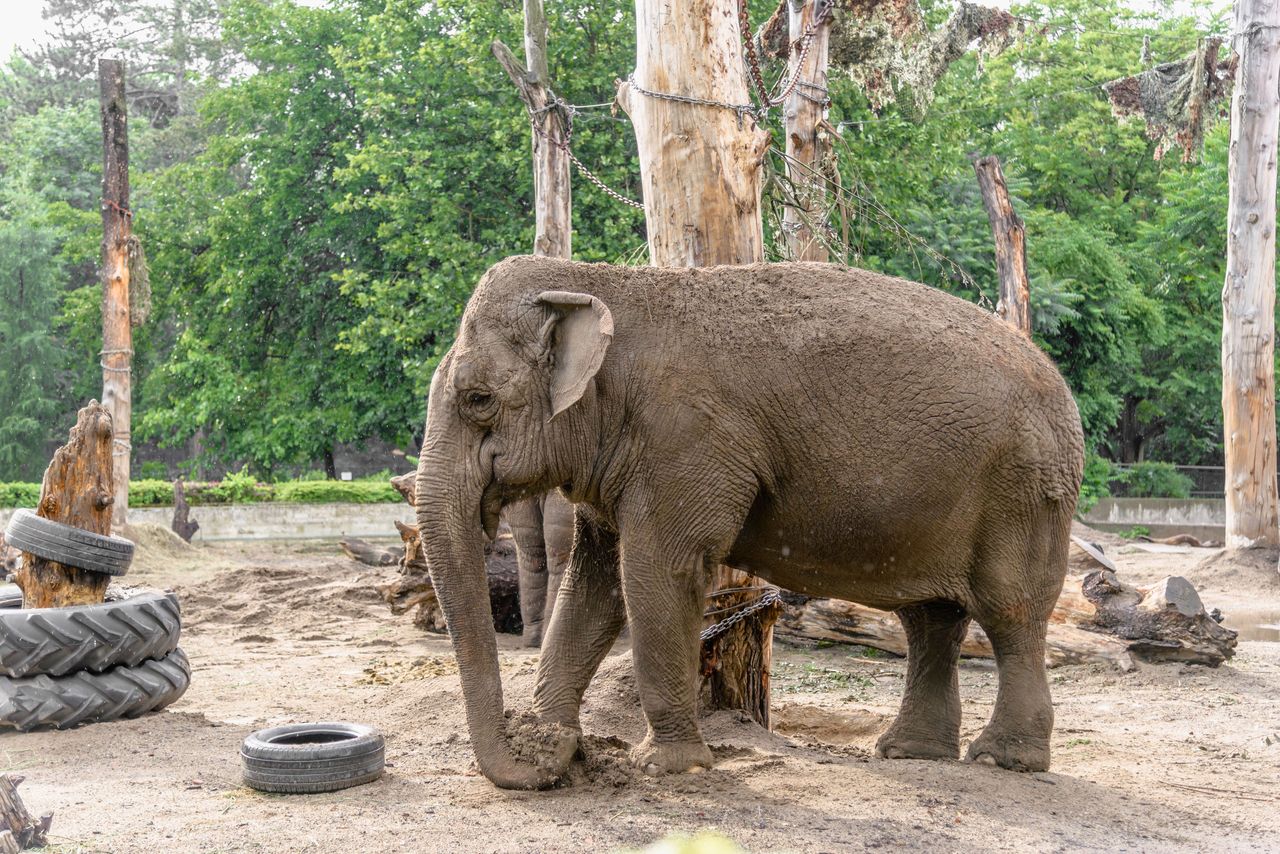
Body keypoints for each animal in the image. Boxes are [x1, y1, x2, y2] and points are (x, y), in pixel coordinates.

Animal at [414, 257, 1085, 793]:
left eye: (477, 399)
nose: (552, 751)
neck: (603, 283)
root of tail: (1060, 383)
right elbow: (594, 586)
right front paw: (556, 739)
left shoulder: (688, 442)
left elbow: (657, 572)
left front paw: (668, 766)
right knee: (930, 618)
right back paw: (909, 752)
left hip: (1026, 492)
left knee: (1010, 612)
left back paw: (1002, 760)